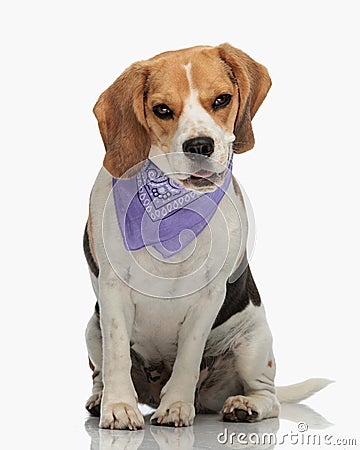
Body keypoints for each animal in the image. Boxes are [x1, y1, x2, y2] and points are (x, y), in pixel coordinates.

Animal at [83, 44, 330, 430]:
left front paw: (176, 406)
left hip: (253, 344)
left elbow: (189, 353)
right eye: (162, 109)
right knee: (101, 371)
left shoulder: (209, 295)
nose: (200, 145)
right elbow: (118, 354)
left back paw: (245, 405)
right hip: (92, 329)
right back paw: (99, 399)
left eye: (221, 99)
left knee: (270, 397)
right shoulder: (112, 290)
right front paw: (119, 407)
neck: (175, 205)